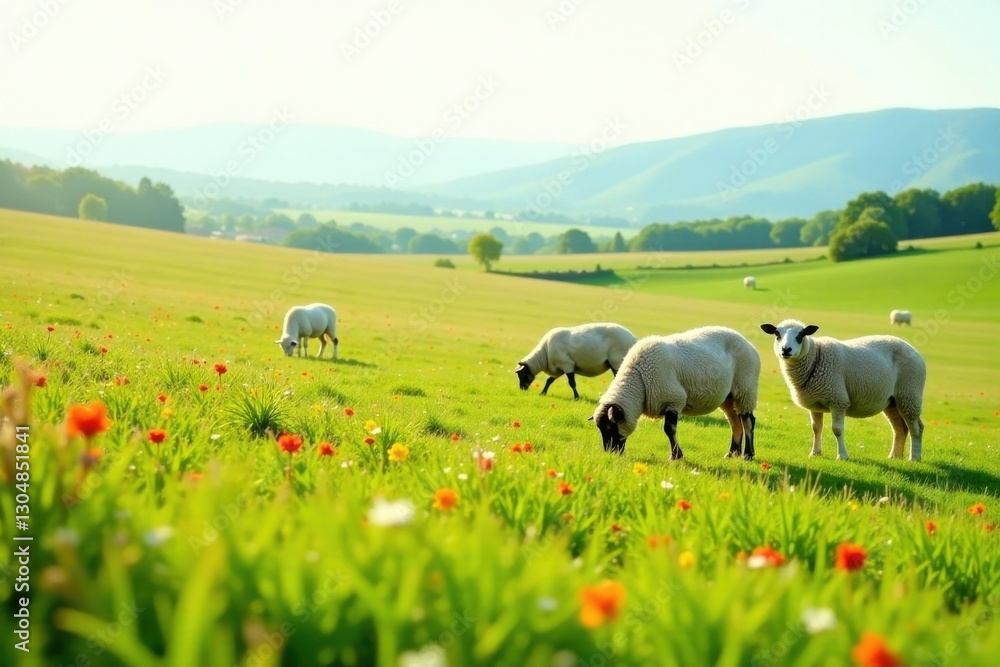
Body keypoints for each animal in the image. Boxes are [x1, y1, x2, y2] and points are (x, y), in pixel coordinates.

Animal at [590, 326, 761, 460]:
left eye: (610, 428)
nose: (610, 453)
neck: (639, 379)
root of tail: (749, 344)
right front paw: (676, 455)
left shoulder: (674, 400)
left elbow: (669, 429)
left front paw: (676, 456)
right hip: (729, 397)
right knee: (735, 423)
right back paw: (732, 454)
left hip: (746, 389)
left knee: (748, 421)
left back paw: (748, 455)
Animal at [760, 319, 926, 461]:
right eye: (777, 334)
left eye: (801, 335)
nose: (786, 349)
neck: (816, 357)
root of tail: (913, 350)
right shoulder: (814, 403)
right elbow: (816, 428)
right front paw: (815, 453)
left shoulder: (838, 400)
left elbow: (837, 429)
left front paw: (842, 456)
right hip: (892, 401)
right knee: (900, 428)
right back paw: (895, 456)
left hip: (910, 393)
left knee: (916, 428)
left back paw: (914, 457)